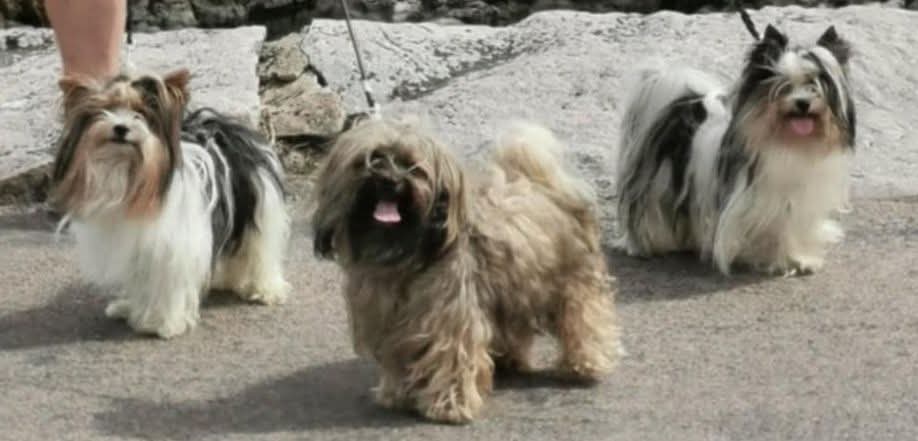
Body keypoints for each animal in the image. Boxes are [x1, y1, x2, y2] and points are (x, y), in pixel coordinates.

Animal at [51, 69, 290, 338]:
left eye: (140, 113)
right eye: (106, 109)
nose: (120, 127)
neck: (128, 172)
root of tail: (227, 132)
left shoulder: (171, 251)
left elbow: (167, 287)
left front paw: (160, 323)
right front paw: (128, 307)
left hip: (259, 212)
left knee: (259, 252)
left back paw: (265, 290)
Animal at [310, 118, 621, 423]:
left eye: (413, 166)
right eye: (373, 159)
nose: (390, 181)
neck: (404, 254)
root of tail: (546, 187)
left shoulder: (449, 320)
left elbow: (452, 359)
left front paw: (450, 406)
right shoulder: (387, 321)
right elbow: (399, 357)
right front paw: (398, 395)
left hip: (573, 284)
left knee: (584, 320)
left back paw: (585, 364)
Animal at [615, 25, 856, 276]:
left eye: (815, 86)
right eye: (783, 86)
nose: (802, 103)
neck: (790, 143)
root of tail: (681, 108)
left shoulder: (801, 202)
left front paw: (800, 259)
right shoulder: (765, 204)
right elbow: (776, 232)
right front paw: (780, 261)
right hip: (657, 181)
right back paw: (642, 245)